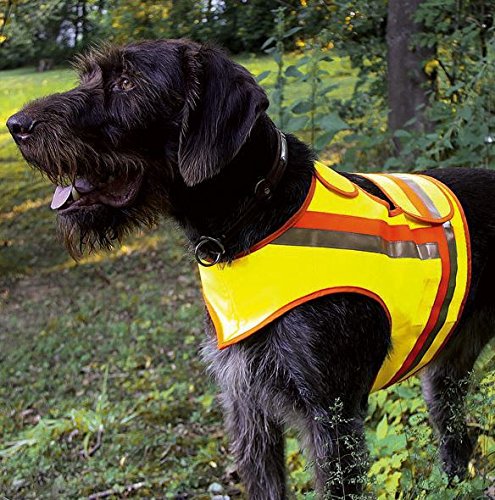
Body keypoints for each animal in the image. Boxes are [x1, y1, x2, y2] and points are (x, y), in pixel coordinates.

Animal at [7, 41, 495, 498]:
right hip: (445, 371)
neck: (253, 218)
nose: (16, 125)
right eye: (88, 76)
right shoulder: (245, 403)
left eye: (127, 83)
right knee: (457, 436)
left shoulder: (332, 416)